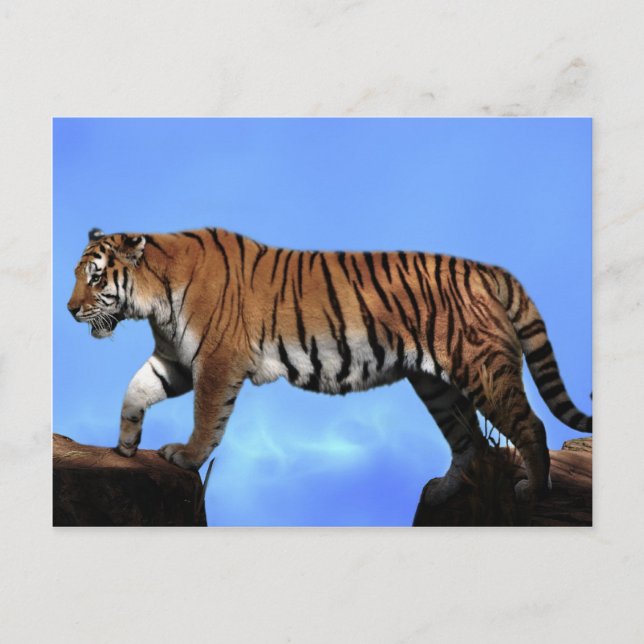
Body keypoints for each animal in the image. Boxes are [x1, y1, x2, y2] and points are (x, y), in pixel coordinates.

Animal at [67, 226, 591, 505]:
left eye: (94, 278)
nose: (70, 310)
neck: (154, 299)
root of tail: (487, 269)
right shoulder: (175, 360)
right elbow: (135, 390)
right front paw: (125, 446)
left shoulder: (215, 362)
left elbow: (206, 418)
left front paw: (186, 456)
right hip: (436, 386)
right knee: (470, 441)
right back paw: (441, 491)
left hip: (482, 369)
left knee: (530, 426)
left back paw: (533, 491)